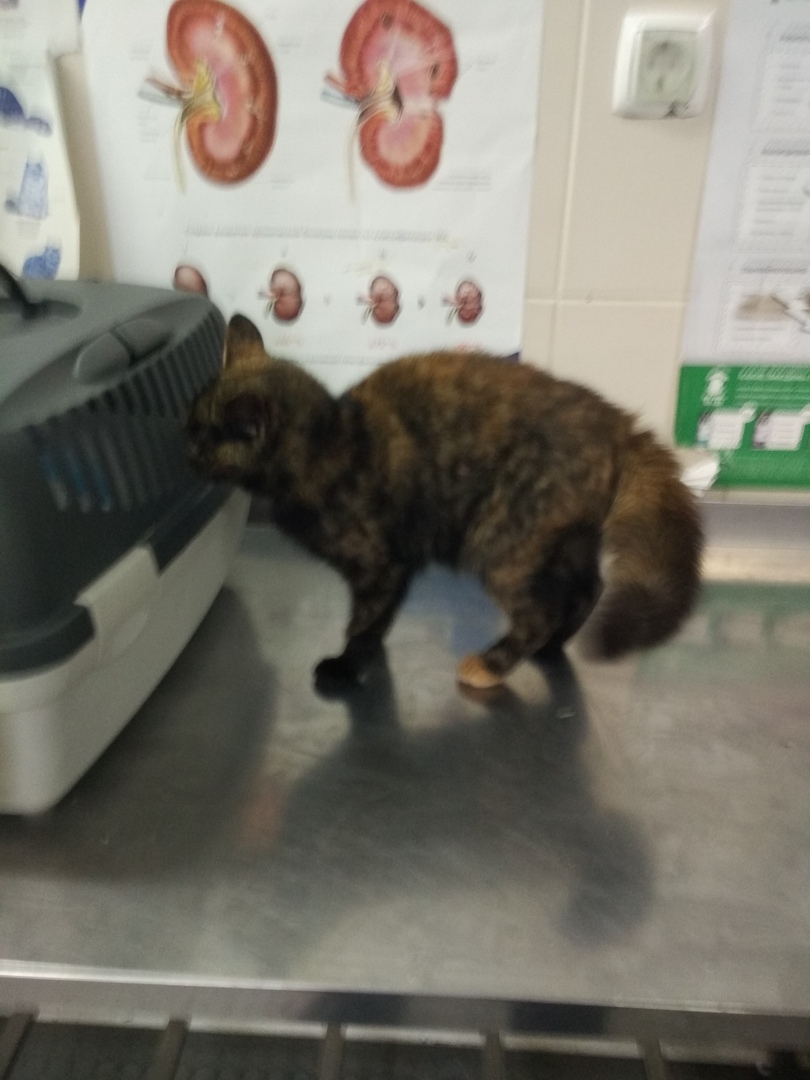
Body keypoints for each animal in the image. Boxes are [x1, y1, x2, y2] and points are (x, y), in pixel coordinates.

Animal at [187, 314, 703, 690]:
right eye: (188, 426)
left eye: (202, 437)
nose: (183, 452)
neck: (329, 441)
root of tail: (618, 423)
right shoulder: (395, 566)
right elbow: (377, 618)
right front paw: (370, 653)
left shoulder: (380, 562)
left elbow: (363, 618)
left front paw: (348, 665)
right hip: (561, 538)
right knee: (587, 588)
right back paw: (551, 647)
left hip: (501, 542)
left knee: (541, 611)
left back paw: (492, 666)